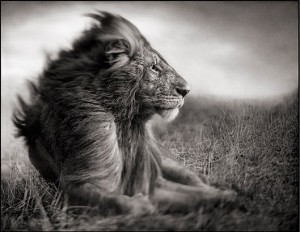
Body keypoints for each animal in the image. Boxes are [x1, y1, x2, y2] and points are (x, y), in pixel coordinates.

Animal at [14, 11, 237, 216]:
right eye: (154, 67)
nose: (187, 90)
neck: (125, 123)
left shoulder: (150, 179)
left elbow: (195, 194)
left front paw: (227, 195)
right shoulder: (74, 187)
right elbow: (114, 201)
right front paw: (141, 205)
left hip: (166, 162)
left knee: (193, 178)